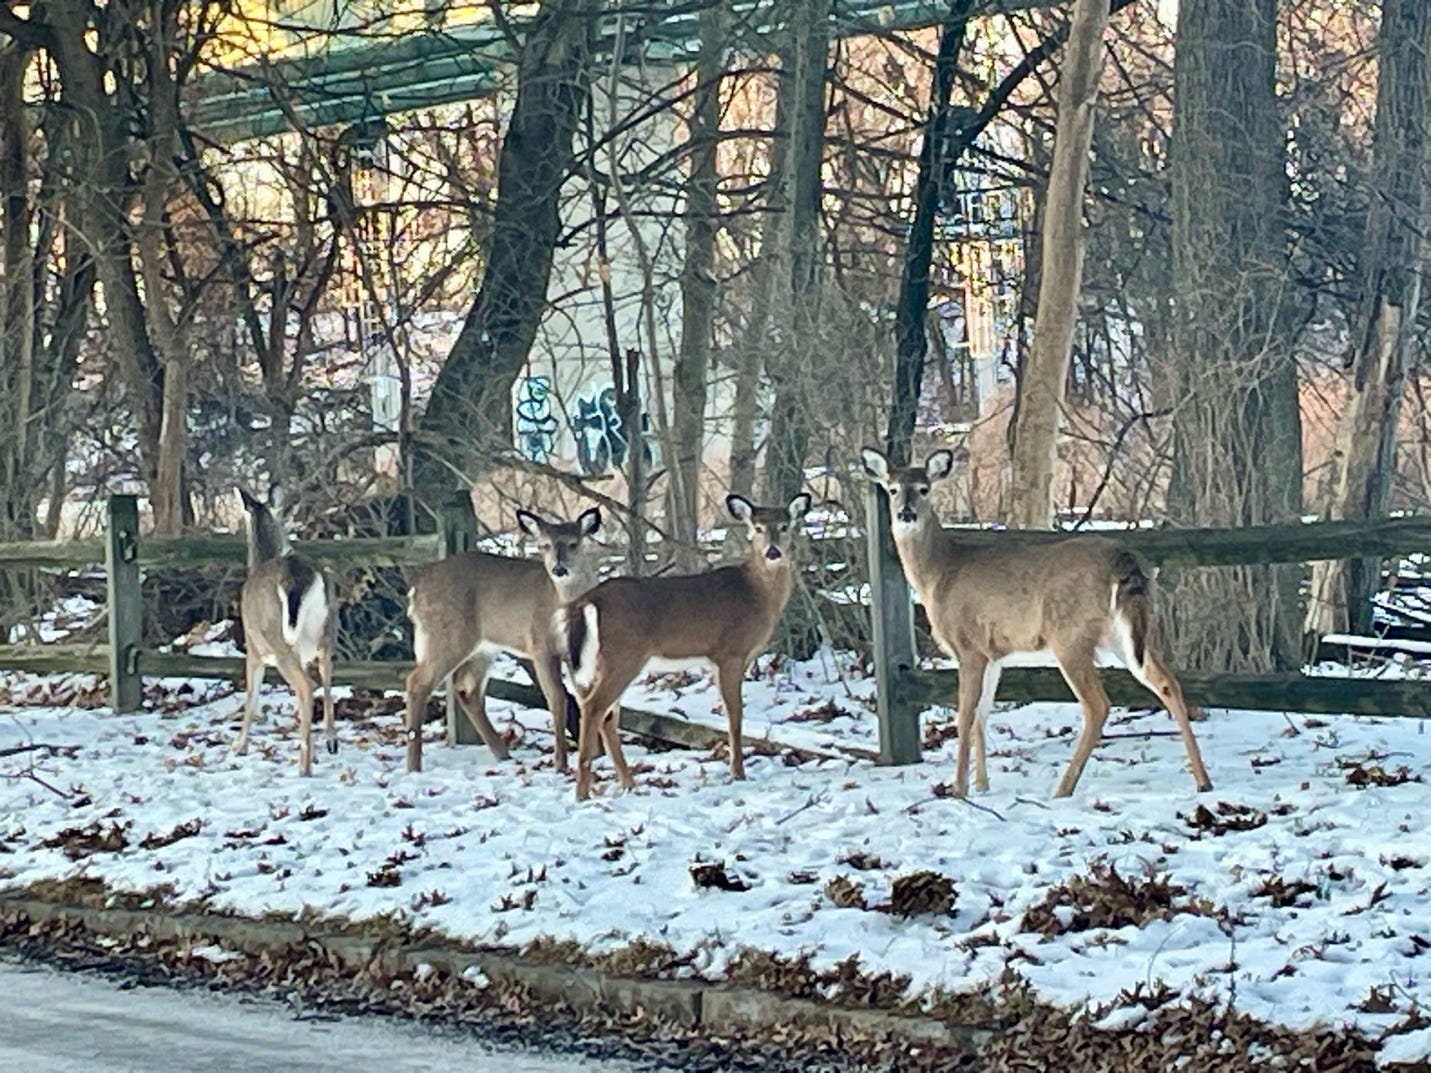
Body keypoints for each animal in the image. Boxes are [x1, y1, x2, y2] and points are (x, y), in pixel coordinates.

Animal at [234, 483, 337, 776]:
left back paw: (304, 766)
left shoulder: (253, 649)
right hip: (325, 631)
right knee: (326, 680)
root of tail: (297, 574)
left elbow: (251, 695)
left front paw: (239, 746)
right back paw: (329, 743)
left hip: (277, 641)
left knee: (306, 686)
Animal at [403, 505, 601, 775]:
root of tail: (417, 587)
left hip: (484, 647)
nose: (558, 569)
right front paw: (561, 763)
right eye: (544, 545)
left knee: (466, 688)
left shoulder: (578, 653)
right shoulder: (540, 646)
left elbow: (586, 699)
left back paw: (503, 754)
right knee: (417, 682)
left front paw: (596, 755)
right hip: (446, 636)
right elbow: (557, 699)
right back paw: (414, 765)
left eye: (574, 544)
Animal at [555, 492, 813, 801]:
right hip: (623, 655)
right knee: (594, 707)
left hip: (602, 661)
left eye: (785, 526)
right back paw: (583, 792)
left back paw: (629, 784)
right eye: (758, 527)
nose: (772, 552)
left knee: (604, 714)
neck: (756, 593)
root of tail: (587, 600)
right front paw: (737, 773)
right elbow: (734, 715)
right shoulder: (730, 651)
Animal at [859, 446, 1212, 800]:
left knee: (1098, 705)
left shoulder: (969, 645)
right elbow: (982, 716)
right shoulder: (993, 654)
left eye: (924, 489)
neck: (940, 573)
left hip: (1070, 634)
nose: (906, 514)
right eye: (893, 489)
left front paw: (959, 789)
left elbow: (965, 716)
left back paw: (1063, 789)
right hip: (1127, 632)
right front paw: (982, 785)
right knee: (1167, 682)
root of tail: (1123, 558)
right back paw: (1202, 780)